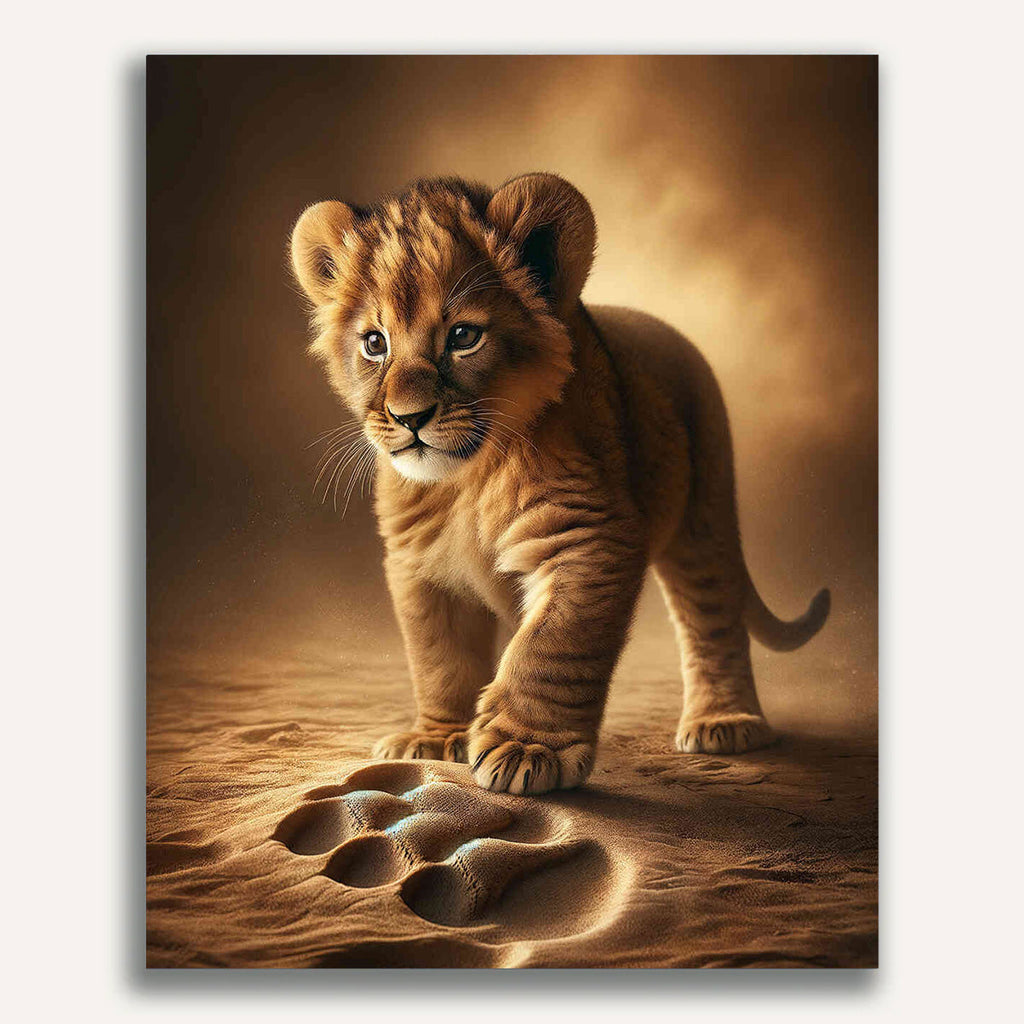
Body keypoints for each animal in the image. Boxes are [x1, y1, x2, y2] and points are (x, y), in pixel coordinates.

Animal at [290, 173, 830, 795]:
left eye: (463, 336)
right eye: (374, 344)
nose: (409, 417)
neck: (466, 481)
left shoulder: (588, 535)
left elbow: (551, 648)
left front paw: (527, 750)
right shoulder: (418, 563)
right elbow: (440, 657)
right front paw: (436, 737)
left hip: (706, 509)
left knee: (711, 615)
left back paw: (725, 722)